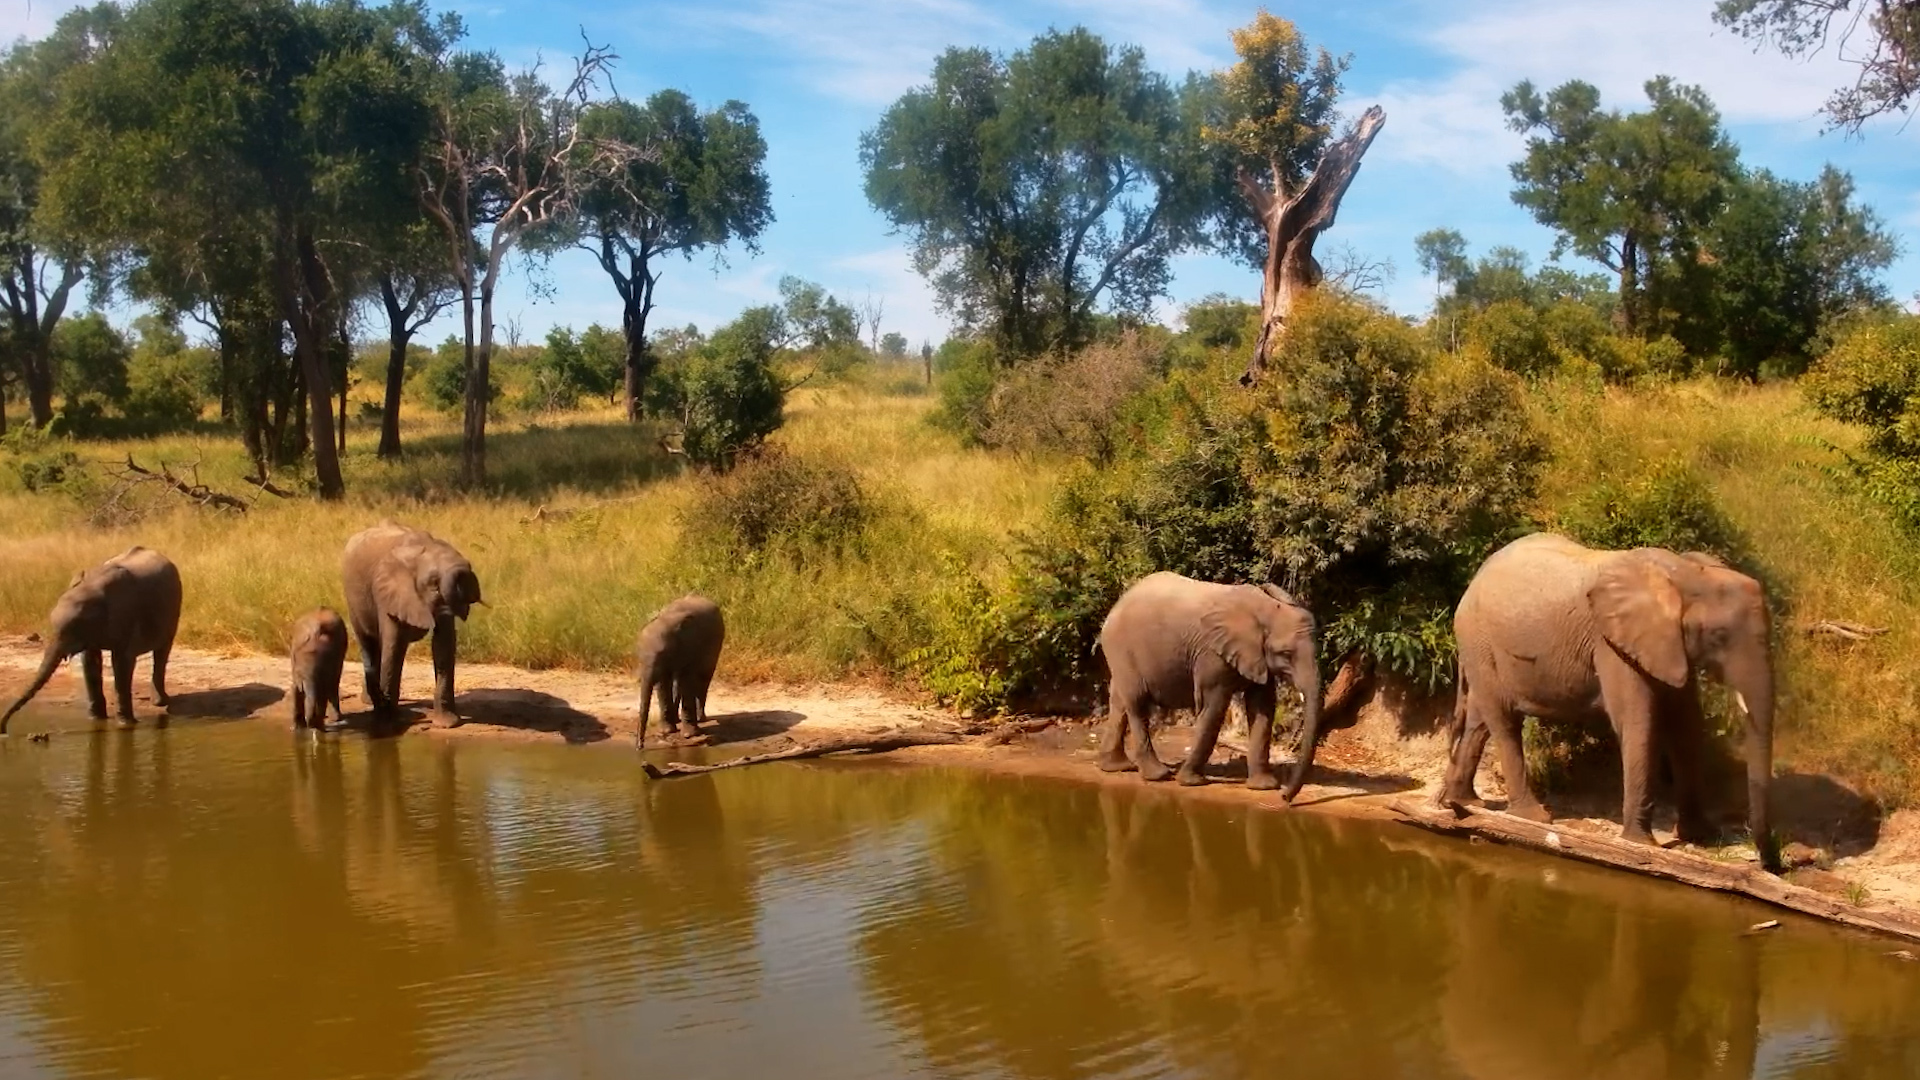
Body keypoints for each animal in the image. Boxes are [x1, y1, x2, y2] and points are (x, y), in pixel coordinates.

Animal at [1, 546, 181, 733]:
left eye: (74, 627)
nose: (3, 730)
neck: (92, 587)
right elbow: (90, 661)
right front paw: (96, 720)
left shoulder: (126, 616)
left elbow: (122, 663)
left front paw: (126, 725)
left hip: (173, 609)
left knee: (162, 652)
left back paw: (160, 702)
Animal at [341, 522, 482, 728]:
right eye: (433, 583)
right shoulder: (390, 593)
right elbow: (395, 645)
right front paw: (387, 722)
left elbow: (444, 643)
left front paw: (447, 724)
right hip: (353, 598)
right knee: (369, 643)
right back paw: (369, 701)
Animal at [634, 595, 725, 748]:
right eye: (639, 656)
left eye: (663, 654)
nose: (639, 747)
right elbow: (663, 683)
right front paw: (667, 731)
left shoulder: (690, 645)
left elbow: (687, 678)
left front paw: (689, 735)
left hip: (716, 644)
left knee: (704, 678)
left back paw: (701, 719)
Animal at [1094, 571, 1324, 798]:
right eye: (1286, 654)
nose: (1284, 796)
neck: (1263, 608)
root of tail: (1117, 605)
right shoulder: (1212, 655)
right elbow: (1214, 707)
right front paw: (1191, 782)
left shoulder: (1257, 658)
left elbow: (1263, 708)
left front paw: (1264, 787)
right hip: (1123, 649)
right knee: (1137, 703)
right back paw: (1158, 775)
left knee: (1119, 702)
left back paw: (1116, 767)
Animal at [1440, 533, 1779, 871]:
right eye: (1719, 636)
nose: (1767, 863)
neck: (1685, 572)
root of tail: (1473, 581)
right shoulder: (1611, 644)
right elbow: (1639, 723)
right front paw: (1639, 844)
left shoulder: (1667, 646)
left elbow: (1687, 724)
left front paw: (1700, 836)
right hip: (1479, 641)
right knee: (1504, 722)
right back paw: (1532, 818)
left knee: (1480, 722)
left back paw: (1462, 803)